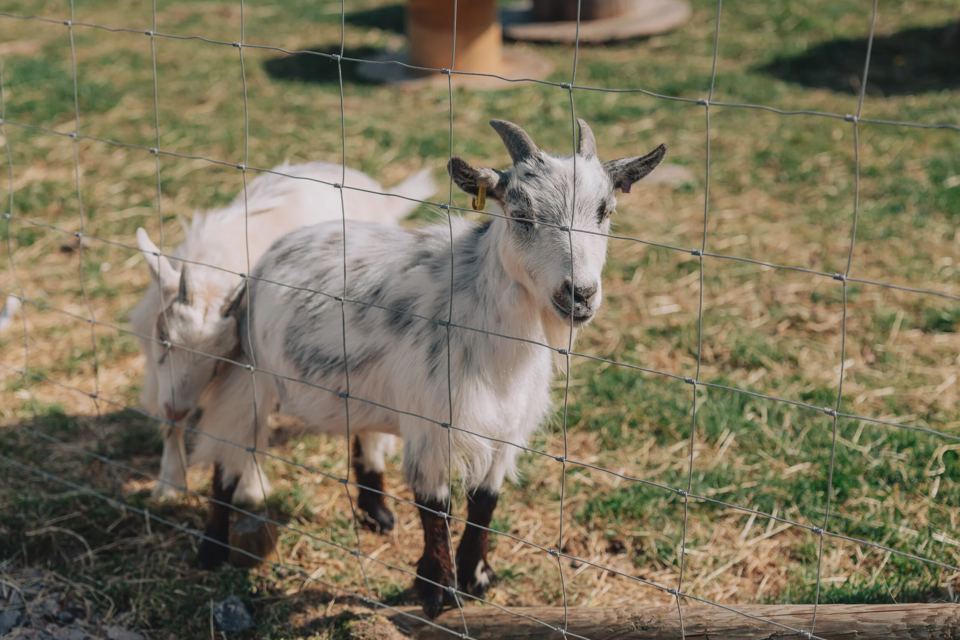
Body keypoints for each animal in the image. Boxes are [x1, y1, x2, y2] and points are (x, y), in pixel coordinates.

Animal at [130, 161, 434, 533]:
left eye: (219, 359)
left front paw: (251, 490)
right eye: (165, 338)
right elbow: (171, 423)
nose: (177, 407)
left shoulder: (250, 367)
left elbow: (247, 426)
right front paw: (169, 486)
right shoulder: (157, 367)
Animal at [191, 120, 665, 617]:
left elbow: (484, 503)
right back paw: (211, 550)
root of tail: (273, 253)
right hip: (248, 377)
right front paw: (440, 591)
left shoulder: (504, 430)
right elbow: (436, 508)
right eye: (521, 214)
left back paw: (377, 511)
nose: (581, 294)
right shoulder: (433, 426)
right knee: (225, 459)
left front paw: (476, 578)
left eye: (605, 211)